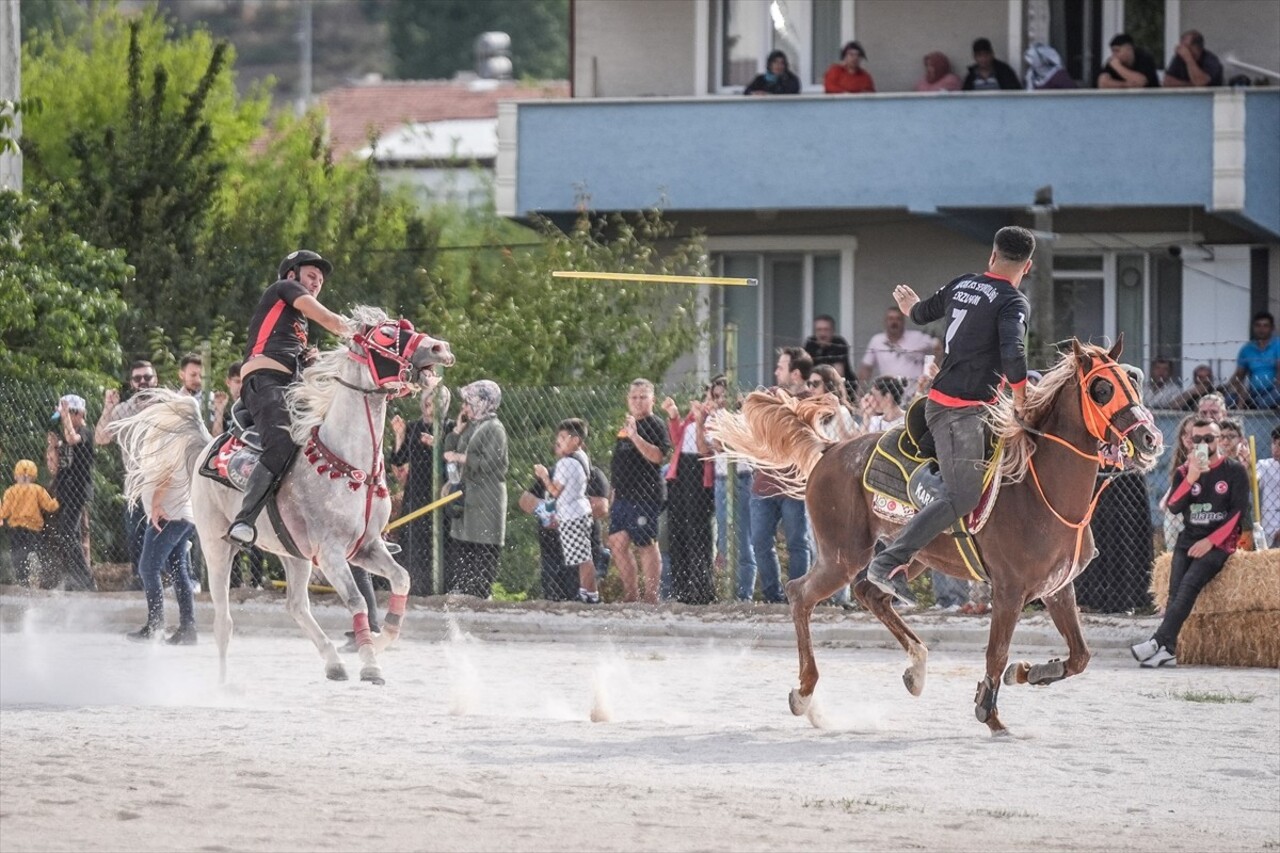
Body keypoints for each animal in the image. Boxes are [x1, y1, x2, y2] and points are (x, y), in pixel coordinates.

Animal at [113, 306, 455, 686]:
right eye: (385, 334)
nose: (440, 348)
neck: (351, 463)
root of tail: (205, 446)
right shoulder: (331, 553)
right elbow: (357, 602)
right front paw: (370, 664)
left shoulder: (367, 547)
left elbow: (401, 580)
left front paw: (381, 642)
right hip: (218, 549)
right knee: (224, 622)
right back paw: (224, 683)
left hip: (293, 554)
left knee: (295, 606)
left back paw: (334, 663)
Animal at [716, 338, 1167, 732]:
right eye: (1102, 389)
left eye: (1134, 380)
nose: (1151, 437)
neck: (1040, 490)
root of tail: (830, 450)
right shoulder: (1009, 590)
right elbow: (996, 653)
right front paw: (990, 713)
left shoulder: (1057, 588)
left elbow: (1079, 657)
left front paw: (1027, 673)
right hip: (843, 555)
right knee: (800, 594)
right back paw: (806, 694)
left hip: (909, 557)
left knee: (870, 593)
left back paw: (915, 667)